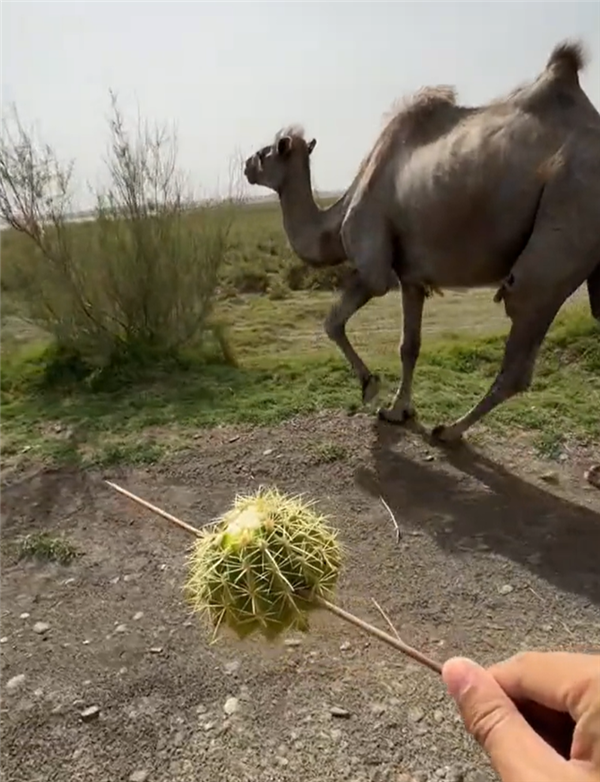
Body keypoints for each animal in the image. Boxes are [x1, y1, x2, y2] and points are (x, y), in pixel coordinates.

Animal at [245, 41, 600, 440]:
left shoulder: (376, 265)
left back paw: (450, 430)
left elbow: (334, 321)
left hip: (568, 212)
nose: (246, 165)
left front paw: (371, 387)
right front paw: (399, 410)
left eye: (265, 153)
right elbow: (409, 346)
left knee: (519, 341)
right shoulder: (412, 276)